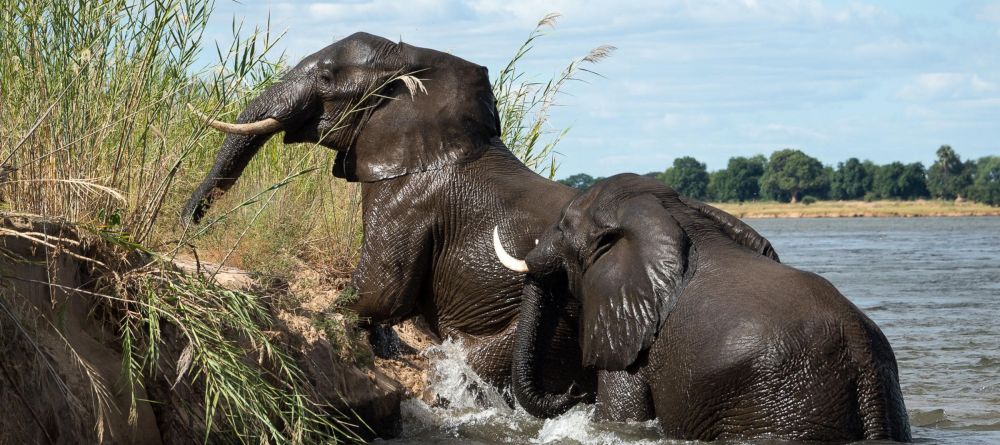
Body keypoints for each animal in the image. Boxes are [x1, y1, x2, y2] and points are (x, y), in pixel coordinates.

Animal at [182, 31, 592, 406]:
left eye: (326, 77)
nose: (186, 226)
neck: (411, 63)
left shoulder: (409, 199)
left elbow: (381, 291)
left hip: (558, 320)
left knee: (482, 362)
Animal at [496, 173, 912, 440]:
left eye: (563, 226)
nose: (572, 392)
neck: (679, 214)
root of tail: (860, 357)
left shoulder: (635, 348)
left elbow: (619, 415)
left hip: (788, 405)